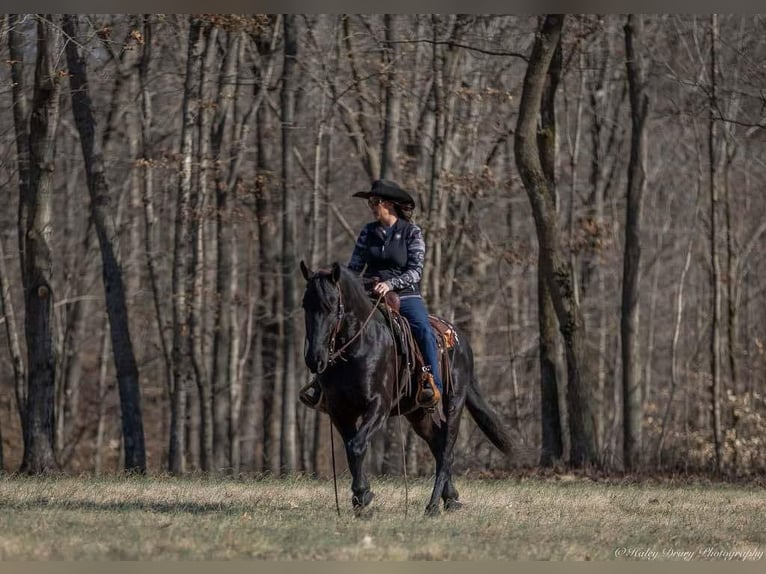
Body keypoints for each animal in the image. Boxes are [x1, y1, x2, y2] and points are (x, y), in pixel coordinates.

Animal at [300, 260, 516, 516]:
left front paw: (363, 495)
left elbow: (357, 446)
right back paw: (451, 498)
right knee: (437, 443)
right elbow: (351, 448)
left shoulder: (379, 406)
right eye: (305, 304)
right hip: (418, 413)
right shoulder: (339, 411)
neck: (359, 347)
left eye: (332, 305)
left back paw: (433, 505)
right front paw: (361, 499)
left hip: (454, 402)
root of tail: (461, 339)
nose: (314, 359)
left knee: (446, 451)